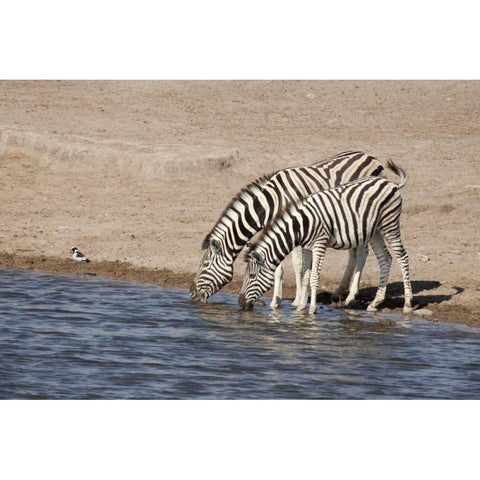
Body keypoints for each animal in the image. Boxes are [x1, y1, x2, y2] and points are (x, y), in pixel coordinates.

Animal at [189, 151, 388, 308]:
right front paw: (276, 301)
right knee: (353, 252)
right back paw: (339, 291)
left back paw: (351, 296)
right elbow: (278, 268)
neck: (271, 202)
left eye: (204, 265)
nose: (191, 294)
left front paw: (296, 300)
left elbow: (298, 265)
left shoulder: (298, 226)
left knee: (362, 252)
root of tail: (370, 156)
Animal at [239, 160, 412, 316]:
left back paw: (408, 305)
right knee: (386, 259)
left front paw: (312, 310)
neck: (302, 224)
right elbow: (305, 276)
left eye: (252, 276)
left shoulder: (319, 244)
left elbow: (314, 277)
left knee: (402, 257)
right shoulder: (307, 248)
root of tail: (392, 184)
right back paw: (375, 303)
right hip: (375, 231)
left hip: (390, 225)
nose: (240, 303)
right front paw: (300, 308)